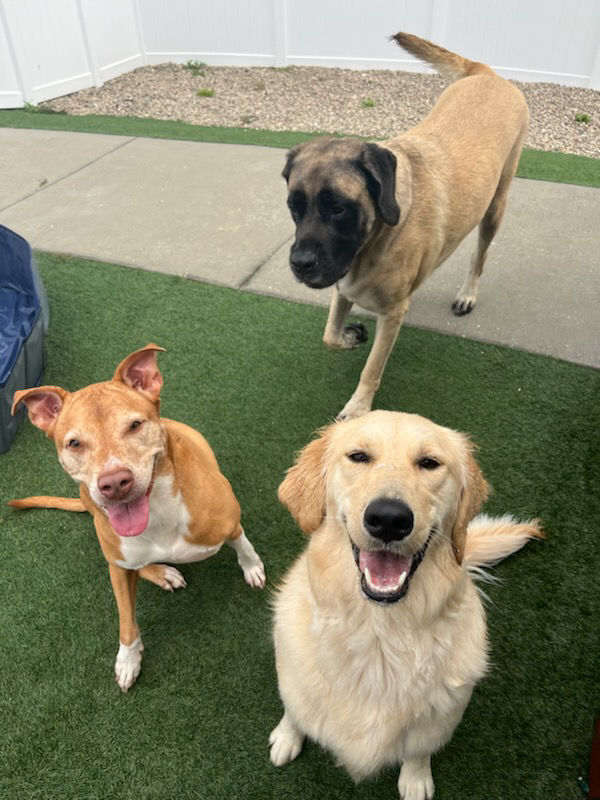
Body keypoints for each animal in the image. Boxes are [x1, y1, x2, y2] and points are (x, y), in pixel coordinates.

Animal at [9, 346, 264, 692]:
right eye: (74, 443)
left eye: (134, 425)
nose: (115, 483)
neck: (157, 513)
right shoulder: (118, 567)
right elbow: (126, 621)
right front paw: (128, 661)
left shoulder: (230, 523)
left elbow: (243, 543)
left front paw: (253, 568)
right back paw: (163, 573)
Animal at [270, 412, 540, 800]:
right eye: (358, 457)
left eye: (429, 463)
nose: (388, 518)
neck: (379, 632)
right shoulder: (293, 678)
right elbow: (295, 711)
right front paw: (286, 737)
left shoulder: (439, 716)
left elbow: (418, 750)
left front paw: (415, 780)